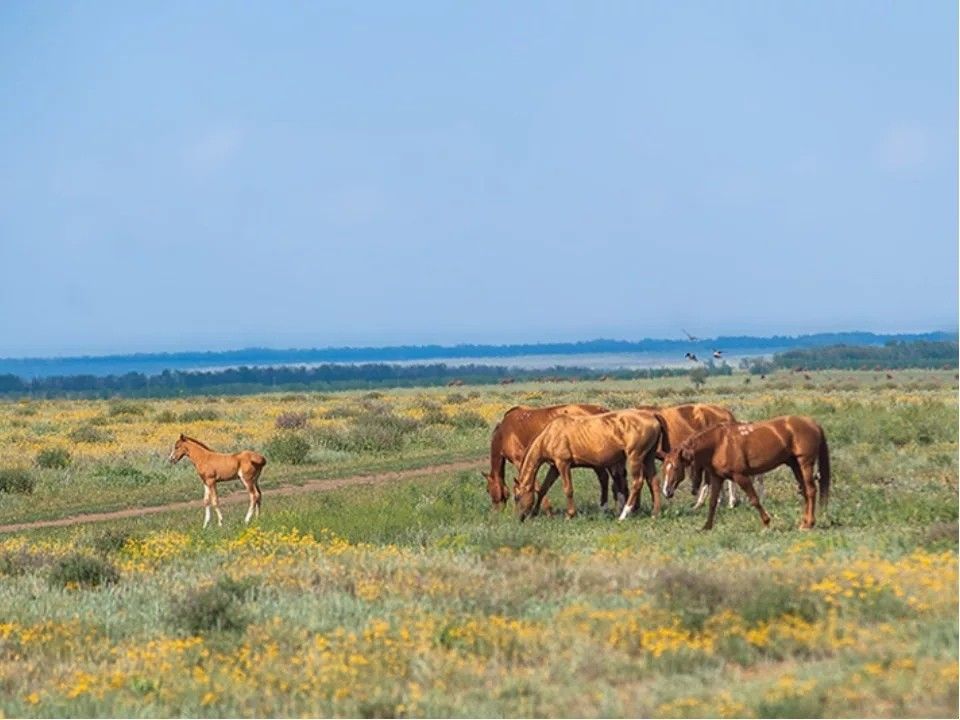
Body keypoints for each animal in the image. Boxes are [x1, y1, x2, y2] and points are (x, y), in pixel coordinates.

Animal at [480, 404, 632, 512]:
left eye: (488, 490)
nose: (497, 512)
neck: (504, 433)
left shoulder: (520, 460)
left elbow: (535, 485)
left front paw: (547, 510)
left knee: (608, 479)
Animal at [512, 408, 664, 520]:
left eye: (517, 497)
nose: (520, 517)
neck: (550, 435)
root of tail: (652, 416)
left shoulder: (563, 464)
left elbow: (568, 489)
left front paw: (570, 514)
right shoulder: (554, 467)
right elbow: (543, 489)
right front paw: (535, 512)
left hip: (635, 457)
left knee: (637, 483)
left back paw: (624, 514)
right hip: (648, 458)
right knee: (654, 481)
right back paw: (655, 514)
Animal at [660, 416, 832, 528]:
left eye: (675, 467)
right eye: (664, 468)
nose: (666, 491)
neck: (719, 444)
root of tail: (813, 423)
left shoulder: (741, 476)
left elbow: (754, 499)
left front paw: (766, 522)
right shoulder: (717, 478)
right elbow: (713, 502)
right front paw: (706, 527)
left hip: (805, 464)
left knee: (811, 490)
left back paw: (809, 524)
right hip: (795, 465)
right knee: (805, 492)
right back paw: (804, 522)